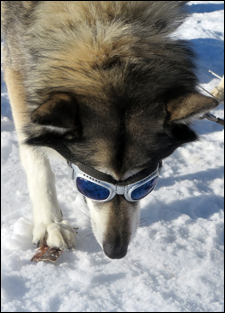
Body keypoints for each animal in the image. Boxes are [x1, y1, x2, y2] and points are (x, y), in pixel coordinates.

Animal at [0, 1, 217, 258]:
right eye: (92, 186)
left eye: (145, 185)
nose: (115, 251)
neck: (106, 20)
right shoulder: (18, 69)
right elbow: (36, 159)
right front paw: (51, 223)